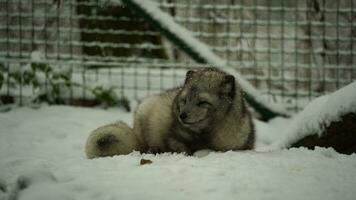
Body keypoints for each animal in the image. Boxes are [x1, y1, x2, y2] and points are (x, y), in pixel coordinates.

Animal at [85, 68, 254, 159]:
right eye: (184, 100)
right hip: (144, 112)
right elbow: (179, 146)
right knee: (144, 146)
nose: (182, 116)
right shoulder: (172, 136)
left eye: (202, 102)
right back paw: (153, 149)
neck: (203, 135)